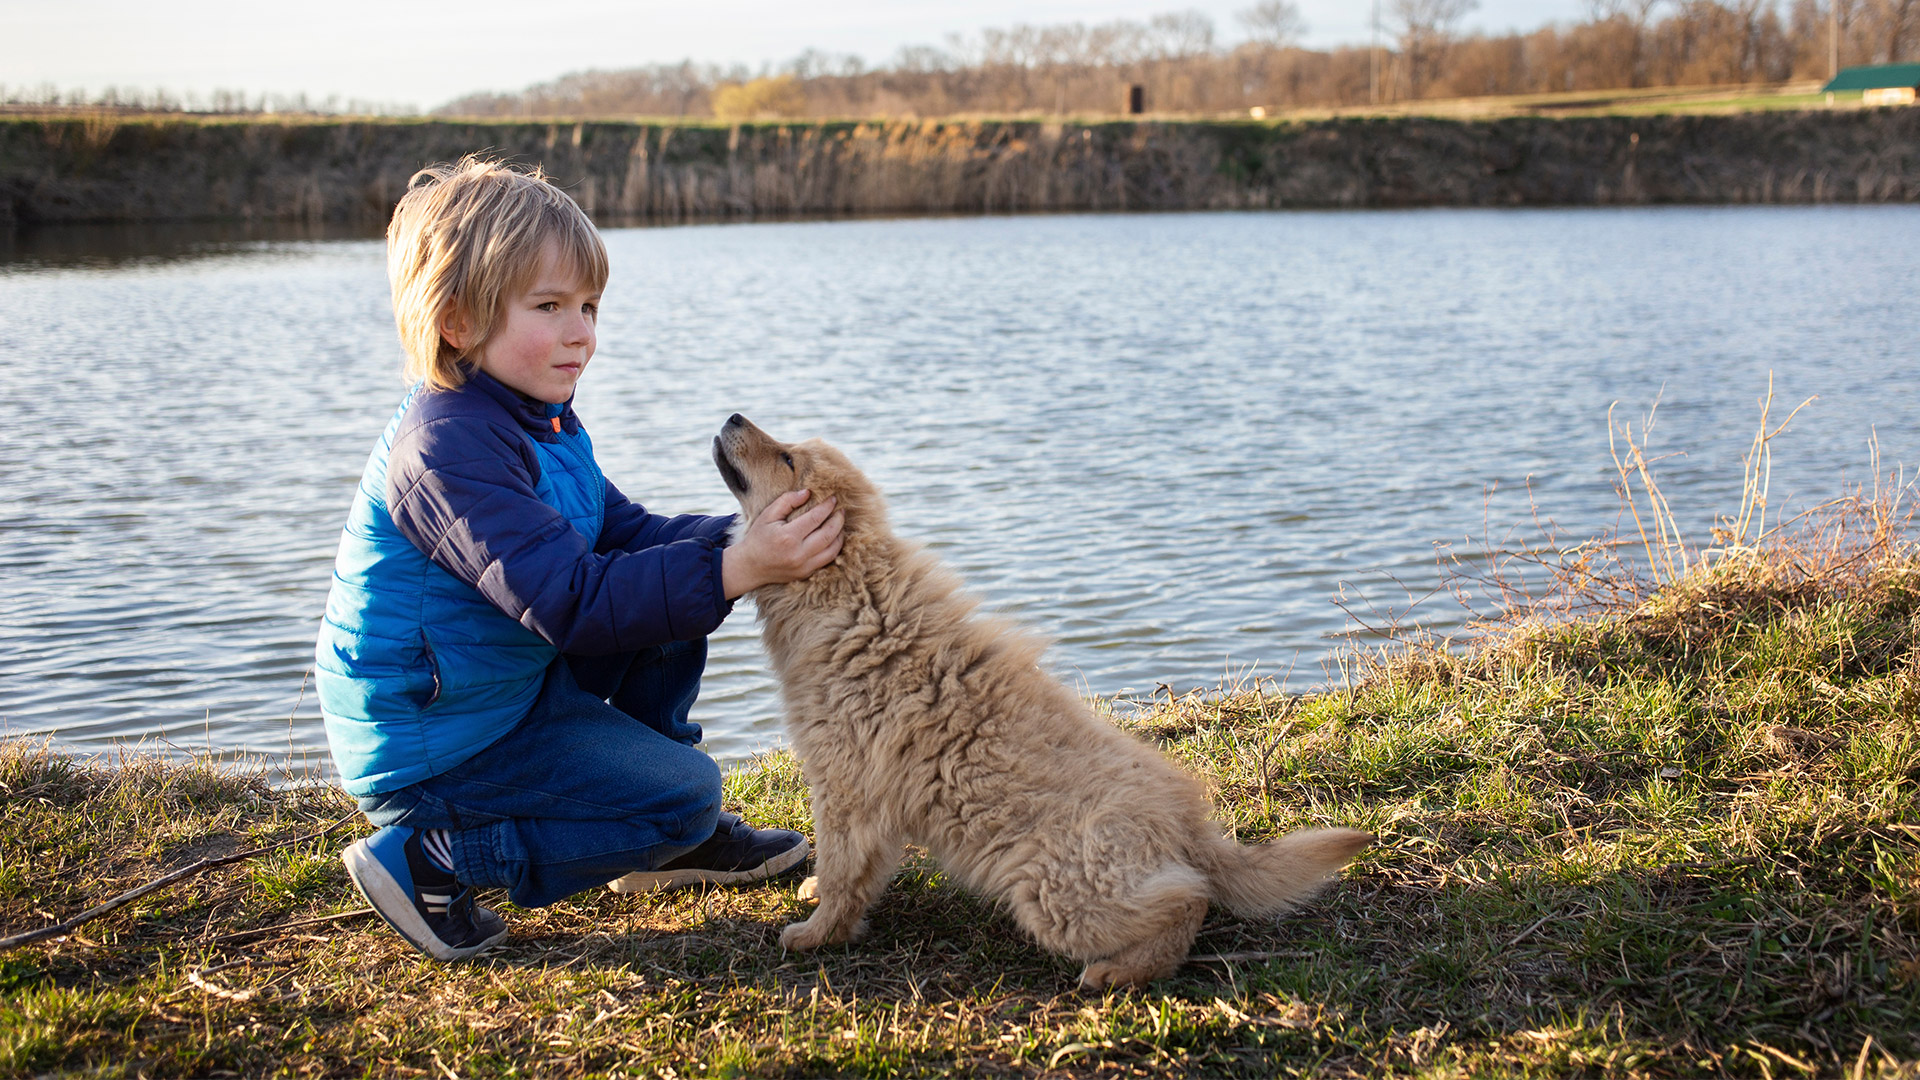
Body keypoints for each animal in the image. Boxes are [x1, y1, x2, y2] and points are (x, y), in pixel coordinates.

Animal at [714, 417, 1374, 991]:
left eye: (787, 458)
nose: (734, 416)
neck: (850, 595)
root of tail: (1188, 827)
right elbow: (852, 872)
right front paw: (817, 902)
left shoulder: (846, 786)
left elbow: (844, 871)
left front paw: (817, 933)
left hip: (1049, 888)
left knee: (1188, 901)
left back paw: (1119, 972)